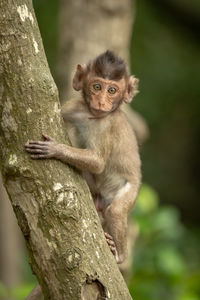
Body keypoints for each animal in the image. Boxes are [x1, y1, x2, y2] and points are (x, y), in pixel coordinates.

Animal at [25, 50, 141, 264]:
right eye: (97, 86)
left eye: (112, 90)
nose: (101, 101)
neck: (91, 115)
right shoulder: (73, 107)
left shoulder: (107, 124)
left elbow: (97, 163)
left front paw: (55, 149)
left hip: (131, 191)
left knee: (116, 211)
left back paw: (119, 255)